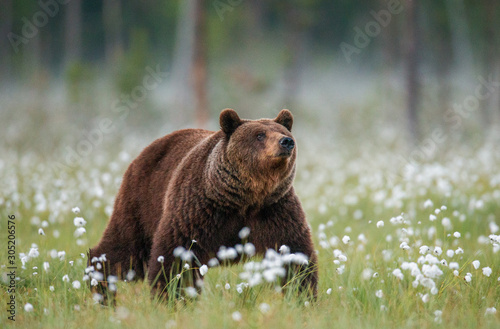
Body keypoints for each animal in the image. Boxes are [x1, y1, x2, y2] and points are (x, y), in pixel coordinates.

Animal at [88, 109, 318, 298]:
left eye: (281, 131)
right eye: (259, 135)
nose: (286, 142)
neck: (245, 198)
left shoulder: (274, 209)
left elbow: (294, 253)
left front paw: (302, 294)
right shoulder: (199, 209)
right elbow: (176, 253)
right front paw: (172, 296)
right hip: (142, 201)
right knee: (124, 250)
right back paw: (99, 282)